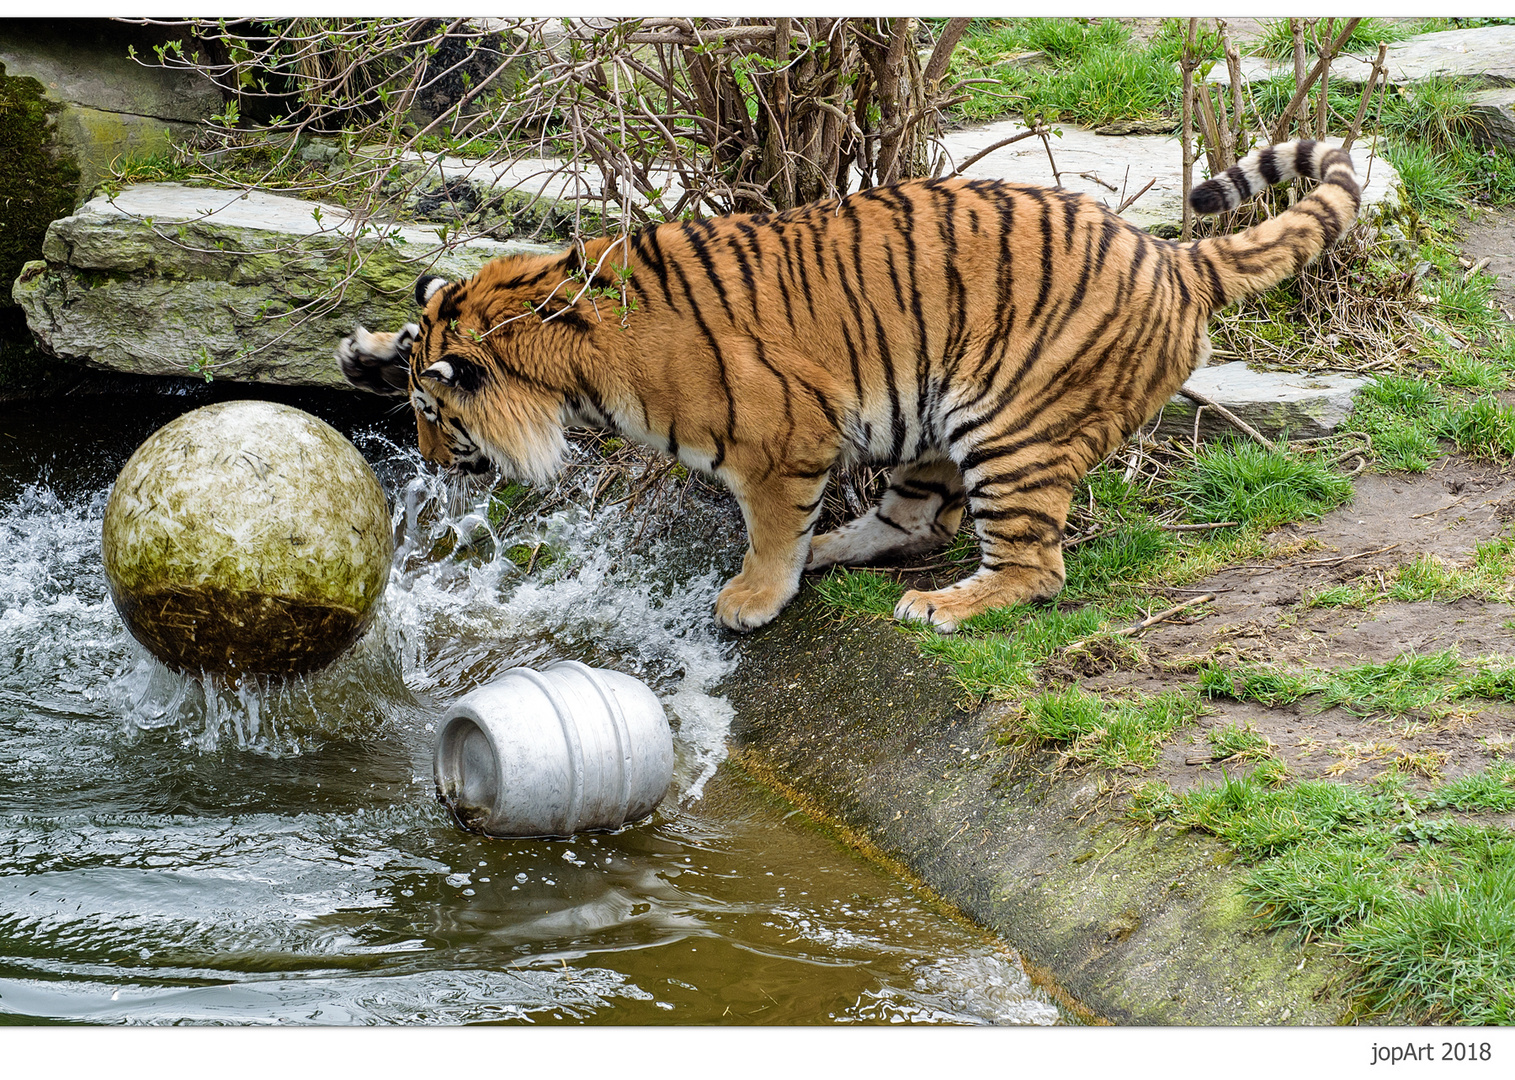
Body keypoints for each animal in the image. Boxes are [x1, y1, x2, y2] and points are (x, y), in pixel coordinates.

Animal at [340, 140, 1363, 636]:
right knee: (912, 522)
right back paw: (835, 552)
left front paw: (751, 598)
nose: (428, 463)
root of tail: (1172, 256)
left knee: (1032, 565)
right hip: (935, 421)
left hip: (1011, 429)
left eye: (431, 416)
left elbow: (767, 527)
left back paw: (941, 606)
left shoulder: (779, 441)